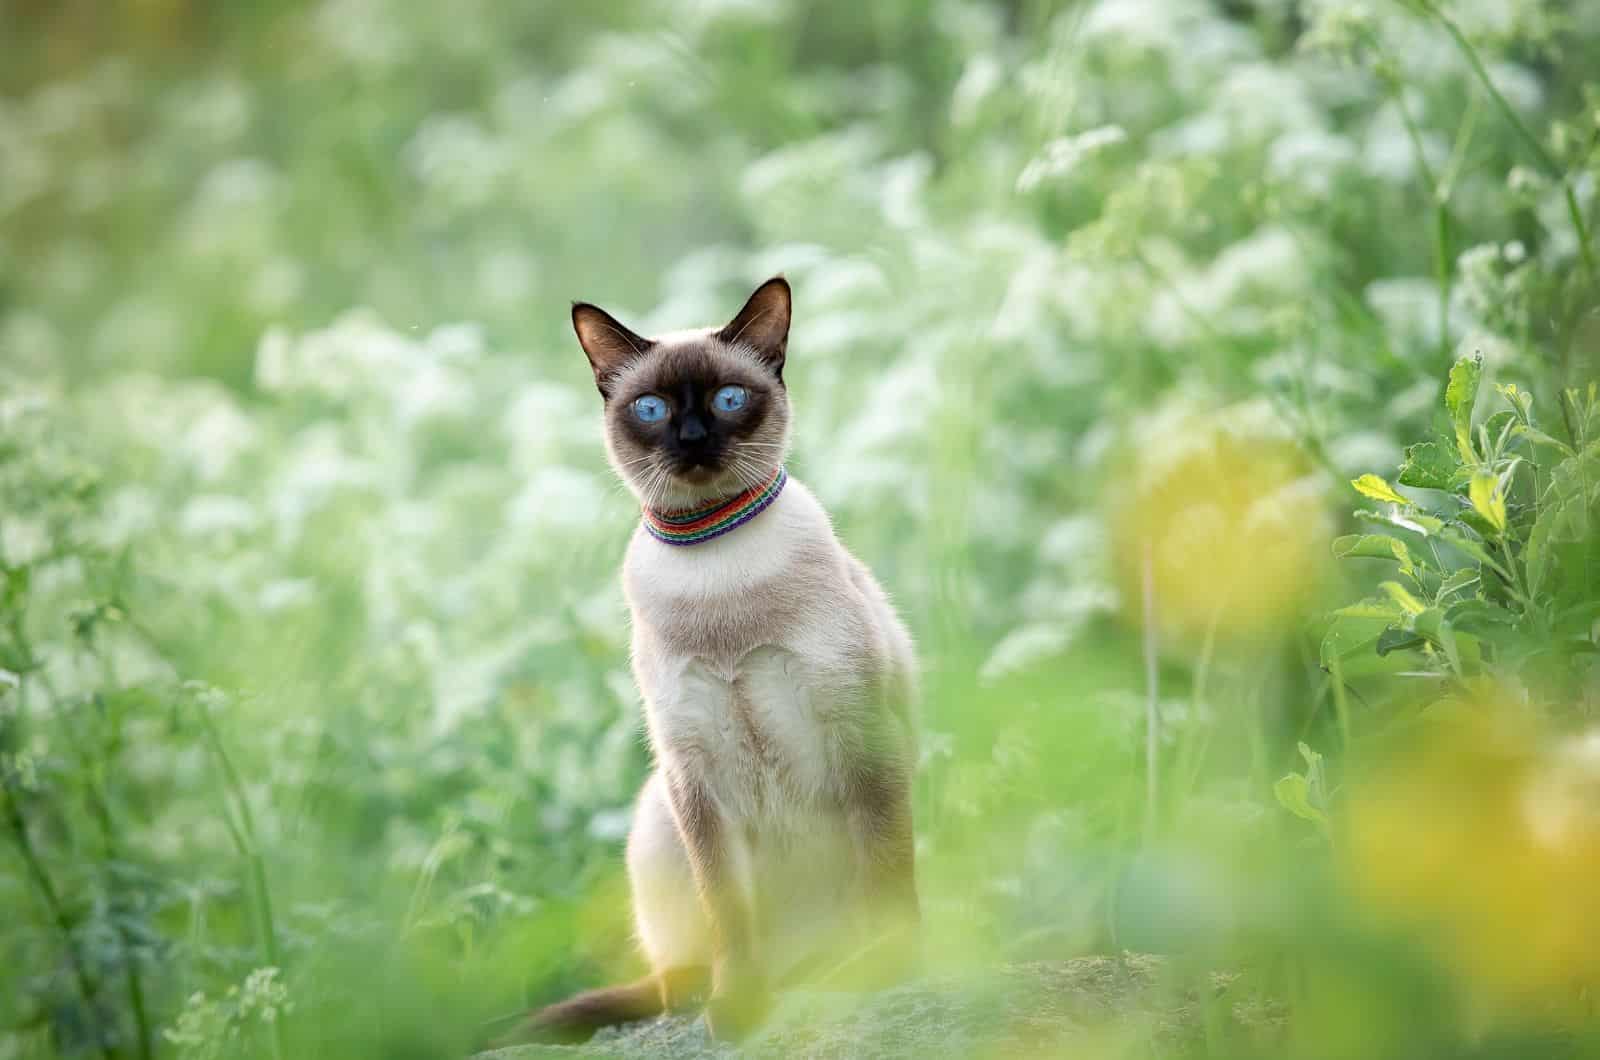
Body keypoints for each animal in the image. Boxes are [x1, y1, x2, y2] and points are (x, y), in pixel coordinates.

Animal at [515, 278, 915, 1043]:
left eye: (729, 398)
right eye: (652, 409)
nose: (695, 440)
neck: (715, 564)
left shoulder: (857, 730)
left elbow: (885, 871)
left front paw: (889, 967)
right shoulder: (695, 769)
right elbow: (728, 906)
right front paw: (739, 1006)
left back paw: (829, 971)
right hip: (658, 814)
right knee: (672, 972)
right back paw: (703, 990)